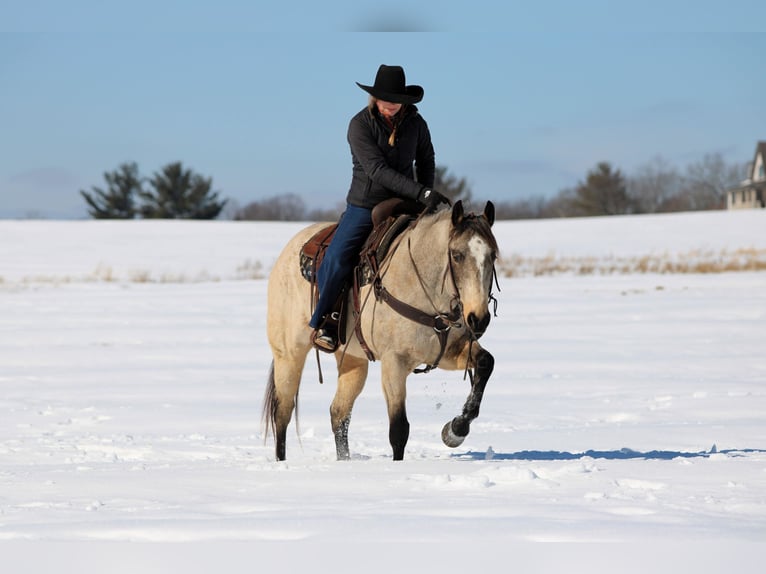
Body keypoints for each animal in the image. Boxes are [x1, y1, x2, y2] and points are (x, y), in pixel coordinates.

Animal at [262, 200, 499, 461]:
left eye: (493, 255)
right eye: (457, 255)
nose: (478, 319)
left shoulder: (448, 351)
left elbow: (486, 363)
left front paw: (456, 429)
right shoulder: (394, 361)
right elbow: (399, 430)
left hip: (352, 360)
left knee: (338, 413)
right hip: (289, 355)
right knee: (282, 412)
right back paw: (281, 463)